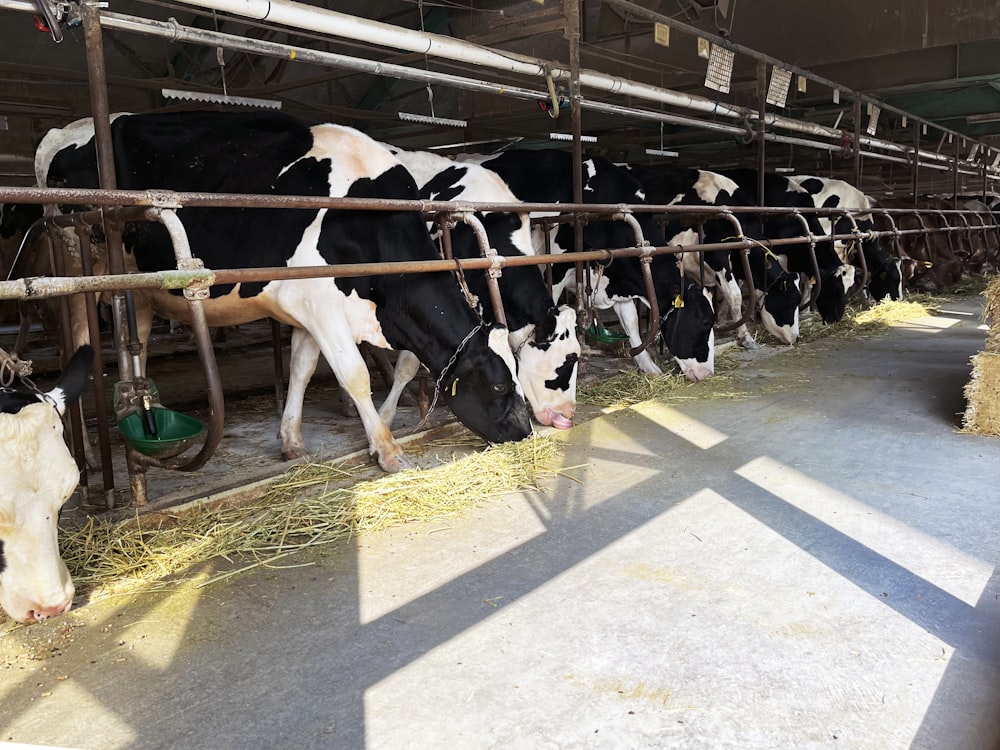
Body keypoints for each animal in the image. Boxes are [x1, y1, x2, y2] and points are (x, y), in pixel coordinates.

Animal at [38, 111, 532, 472]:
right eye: (499, 383)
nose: (526, 432)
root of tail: (65, 130)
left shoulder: (309, 309)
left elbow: (301, 369)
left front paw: (291, 440)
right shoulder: (321, 306)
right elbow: (354, 374)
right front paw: (388, 450)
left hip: (142, 286)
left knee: (135, 339)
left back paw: (147, 412)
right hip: (79, 266)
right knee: (77, 341)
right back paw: (84, 446)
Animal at [460, 149, 720, 382]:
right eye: (705, 321)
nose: (707, 374)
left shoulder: (620, 274)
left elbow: (632, 322)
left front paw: (648, 366)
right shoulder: (555, 266)